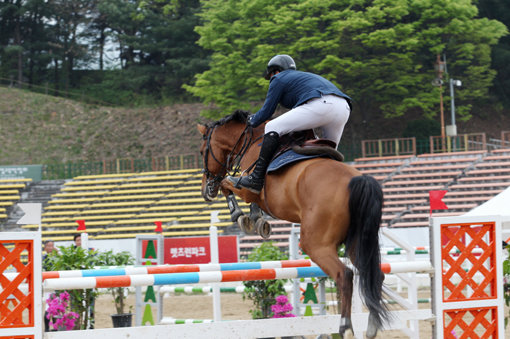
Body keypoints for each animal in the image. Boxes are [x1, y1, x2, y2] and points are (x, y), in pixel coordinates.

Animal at [197, 110, 388, 338]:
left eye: (202, 152)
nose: (206, 191)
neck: (251, 142)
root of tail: (357, 180)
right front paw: (257, 220)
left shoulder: (247, 189)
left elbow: (229, 185)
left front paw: (242, 216)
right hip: (358, 241)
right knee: (374, 274)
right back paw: (372, 325)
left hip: (316, 245)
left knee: (345, 275)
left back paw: (346, 327)